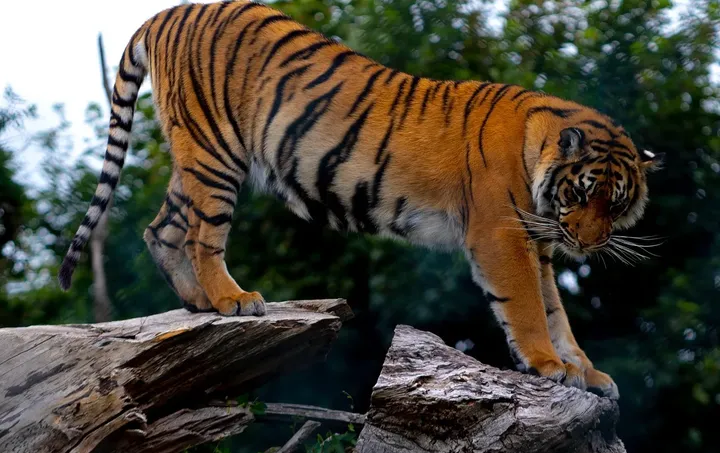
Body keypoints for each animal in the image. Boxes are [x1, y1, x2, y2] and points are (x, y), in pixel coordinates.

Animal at [58, 0, 662, 400]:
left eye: (615, 204)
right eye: (581, 192)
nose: (588, 243)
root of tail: (167, 13)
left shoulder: (538, 243)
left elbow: (558, 313)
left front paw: (585, 372)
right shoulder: (502, 236)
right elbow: (530, 308)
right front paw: (546, 364)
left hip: (193, 156)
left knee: (161, 229)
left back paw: (200, 304)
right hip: (214, 153)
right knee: (201, 234)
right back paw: (232, 300)